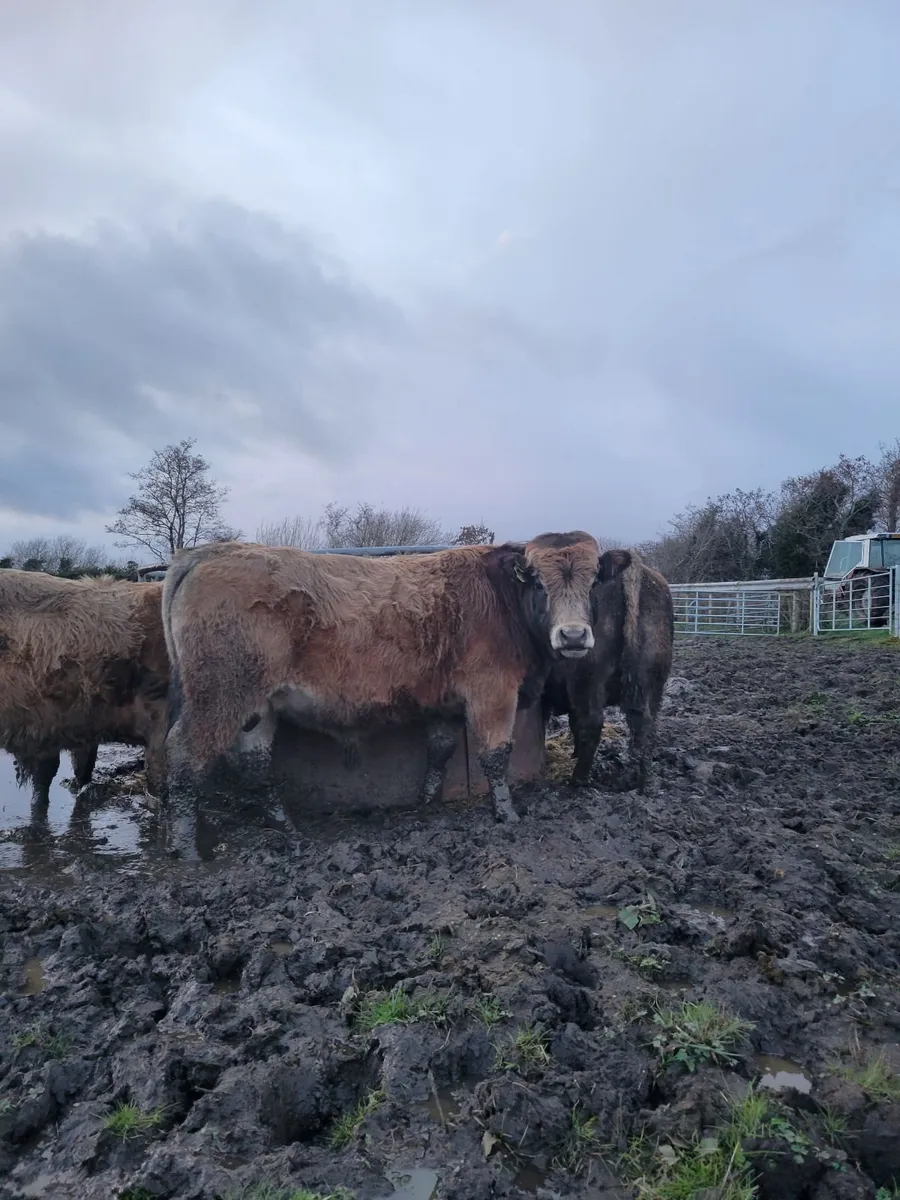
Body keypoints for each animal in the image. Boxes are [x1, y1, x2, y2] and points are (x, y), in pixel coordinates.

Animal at [160, 532, 603, 850]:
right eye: (540, 584)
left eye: (594, 581)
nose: (573, 635)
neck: (501, 596)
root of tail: (210, 552)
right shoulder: (492, 692)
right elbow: (495, 756)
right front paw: (507, 815)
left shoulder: (444, 704)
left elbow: (439, 752)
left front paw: (426, 802)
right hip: (218, 696)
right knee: (183, 757)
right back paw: (185, 846)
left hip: (259, 706)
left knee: (255, 762)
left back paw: (284, 824)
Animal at [541, 548, 674, 793]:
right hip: (653, 684)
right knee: (645, 726)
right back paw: (641, 781)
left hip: (589, 680)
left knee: (593, 723)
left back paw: (578, 780)